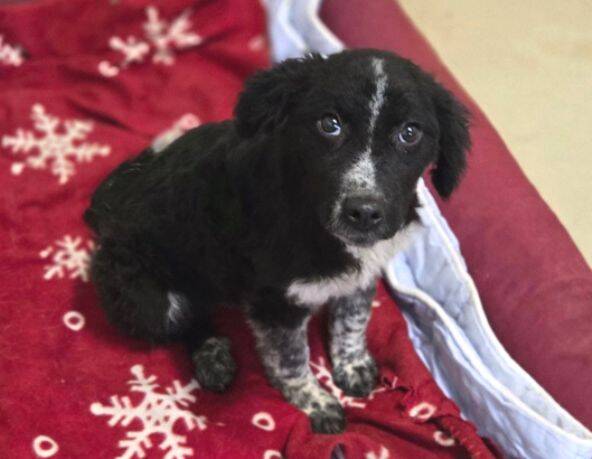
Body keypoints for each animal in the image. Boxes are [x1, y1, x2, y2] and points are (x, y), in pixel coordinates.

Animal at [85, 49, 470, 434]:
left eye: (410, 133)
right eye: (329, 124)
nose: (363, 212)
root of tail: (106, 208)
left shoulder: (363, 272)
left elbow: (353, 319)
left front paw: (352, 365)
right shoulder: (275, 302)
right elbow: (291, 358)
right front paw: (316, 403)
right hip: (146, 299)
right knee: (183, 319)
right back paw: (212, 355)